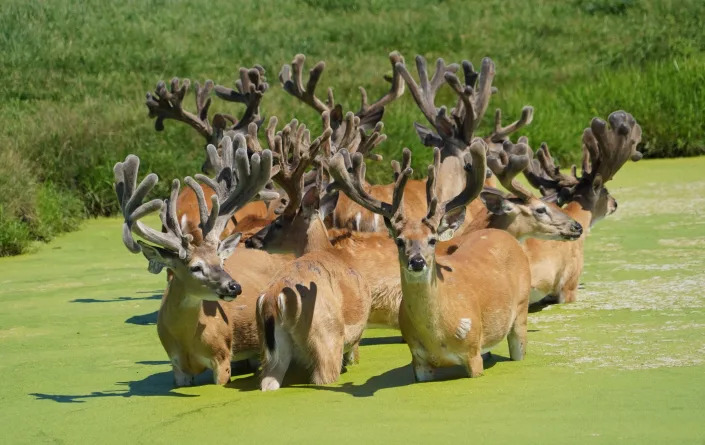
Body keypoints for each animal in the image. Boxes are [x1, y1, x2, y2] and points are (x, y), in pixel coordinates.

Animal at [328, 140, 532, 382]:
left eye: (432, 239)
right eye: (399, 240)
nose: (417, 262)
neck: (438, 336)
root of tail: (505, 236)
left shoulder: (473, 351)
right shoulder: (418, 360)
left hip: (521, 310)